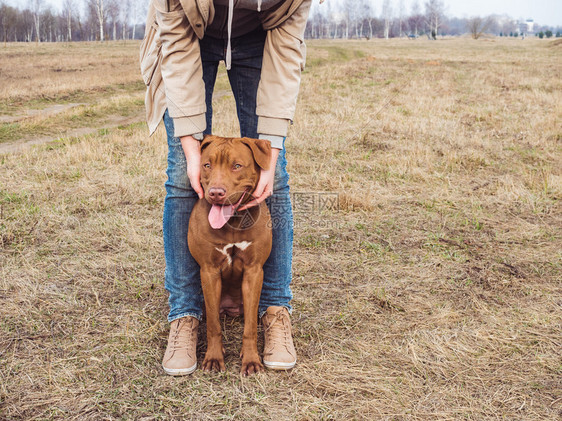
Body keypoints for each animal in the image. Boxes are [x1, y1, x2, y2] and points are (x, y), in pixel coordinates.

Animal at [187, 135, 272, 374]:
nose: (216, 192)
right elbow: (214, 325)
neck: (232, 221)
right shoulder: (209, 272)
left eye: (237, 166)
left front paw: (251, 360)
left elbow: (249, 327)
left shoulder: (253, 272)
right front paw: (214, 357)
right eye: (207, 165)